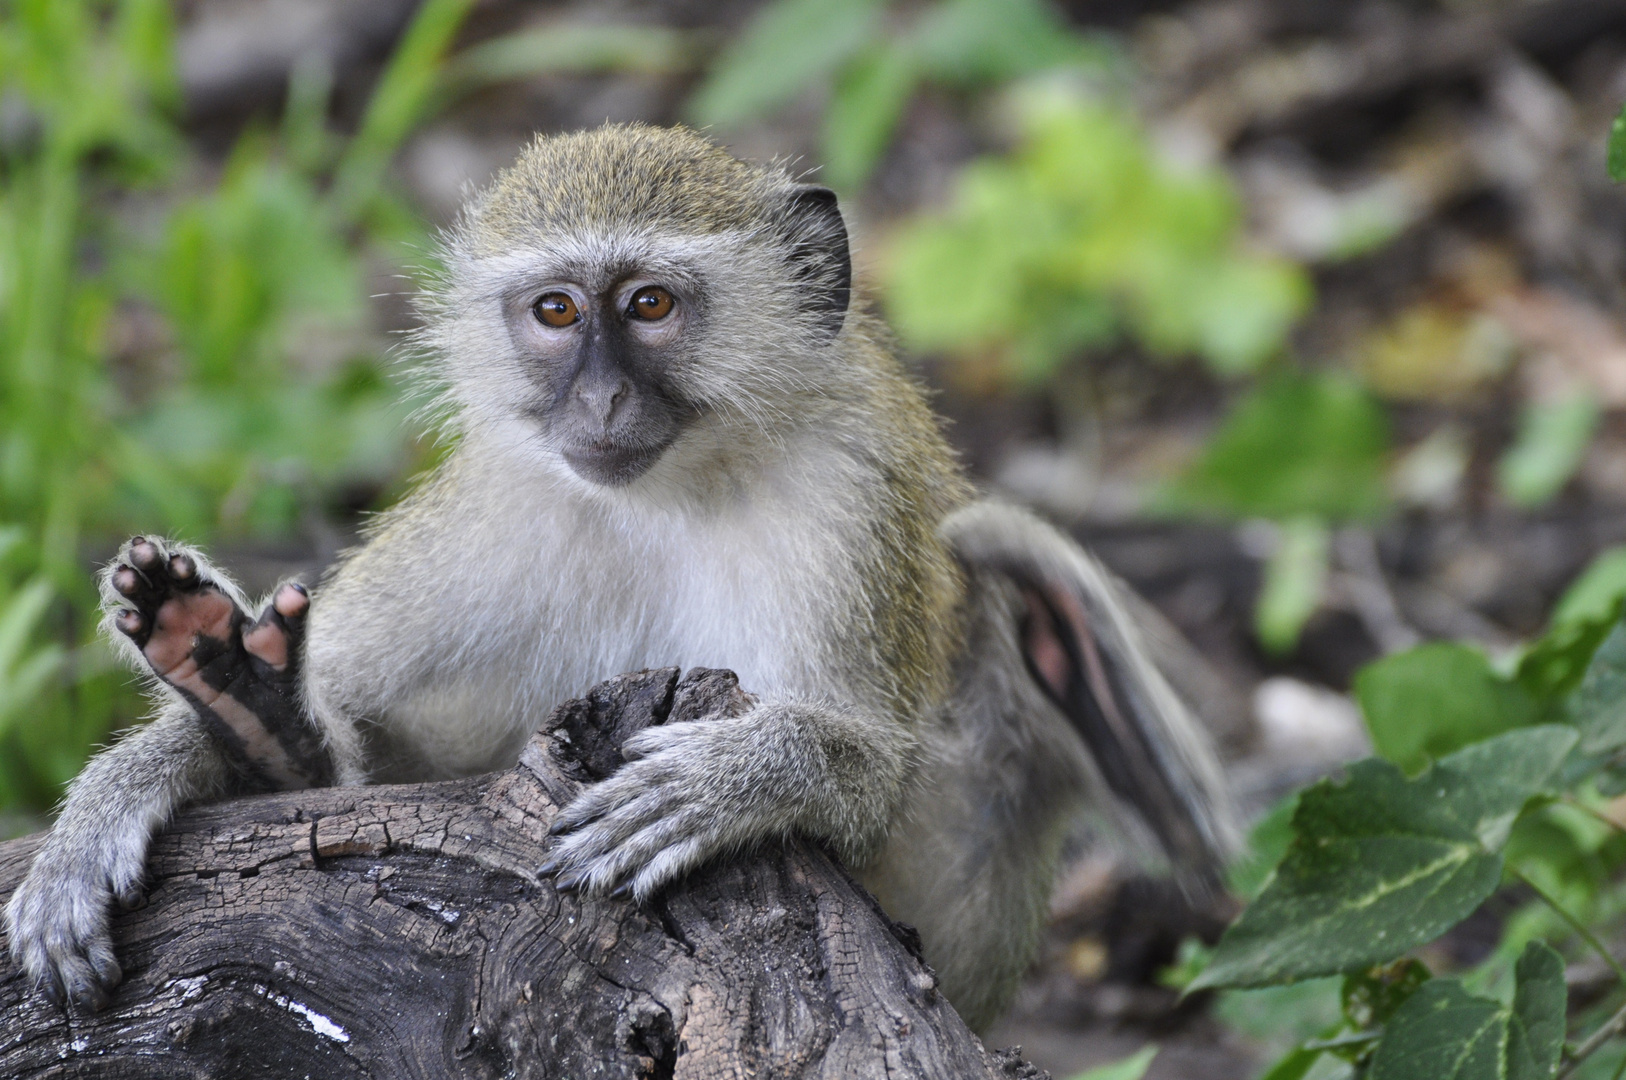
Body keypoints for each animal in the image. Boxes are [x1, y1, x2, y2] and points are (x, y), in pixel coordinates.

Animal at [6, 121, 1229, 1034]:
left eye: (649, 304)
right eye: (556, 310)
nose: (597, 400)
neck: (674, 492)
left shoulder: (850, 495)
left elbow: (874, 784)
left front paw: (739, 780)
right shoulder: (494, 503)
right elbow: (363, 771)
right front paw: (182, 755)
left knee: (1009, 568)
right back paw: (240, 696)